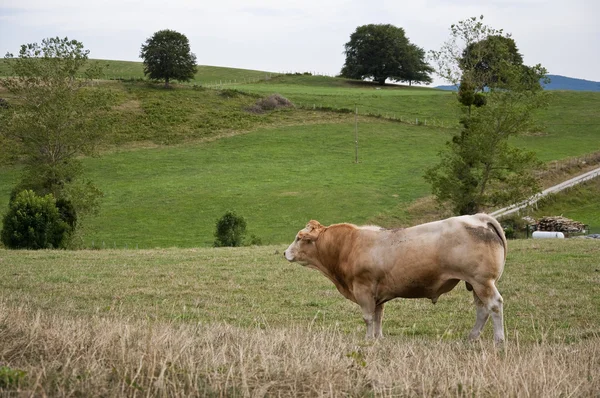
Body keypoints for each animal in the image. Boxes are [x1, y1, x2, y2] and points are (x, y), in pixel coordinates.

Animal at [284, 215, 506, 342]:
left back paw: (499, 341)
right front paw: (378, 338)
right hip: (475, 284)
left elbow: (368, 317)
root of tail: (477, 218)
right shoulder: (377, 293)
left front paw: (367, 340)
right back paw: (472, 337)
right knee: (482, 310)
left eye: (299, 238)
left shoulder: (363, 289)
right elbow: (378, 316)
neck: (349, 245)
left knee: (494, 305)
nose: (285, 253)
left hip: (482, 282)